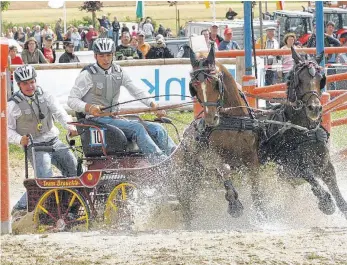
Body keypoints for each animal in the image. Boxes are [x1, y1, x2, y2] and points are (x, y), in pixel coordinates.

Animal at [260, 46, 347, 218]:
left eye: (321, 79)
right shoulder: (290, 169)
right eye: (299, 80)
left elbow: (340, 200)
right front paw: (325, 203)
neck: (306, 132)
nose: (315, 108)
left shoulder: (326, 165)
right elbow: (309, 176)